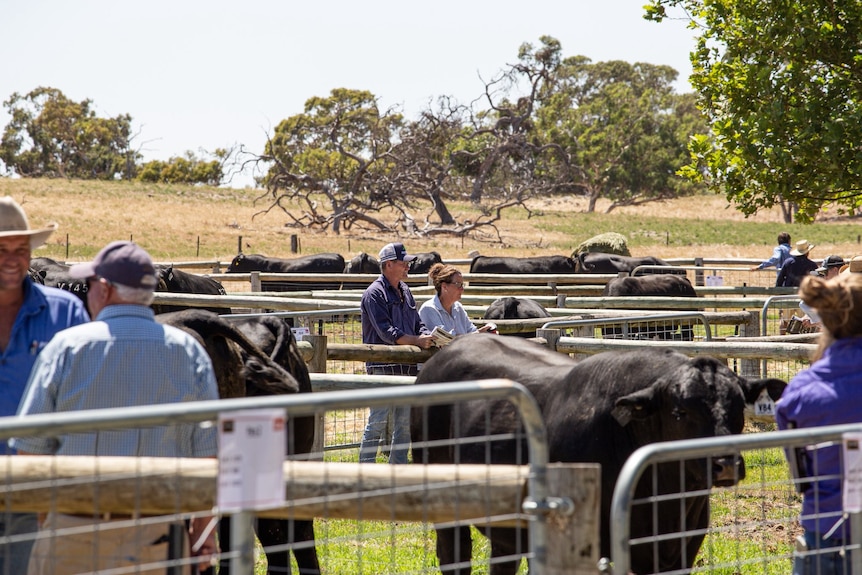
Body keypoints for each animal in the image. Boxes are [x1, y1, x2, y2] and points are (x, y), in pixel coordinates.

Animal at [410, 335, 786, 575]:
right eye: (679, 412)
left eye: (738, 408)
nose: (725, 464)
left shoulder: (681, 548)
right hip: (444, 506)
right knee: (453, 555)